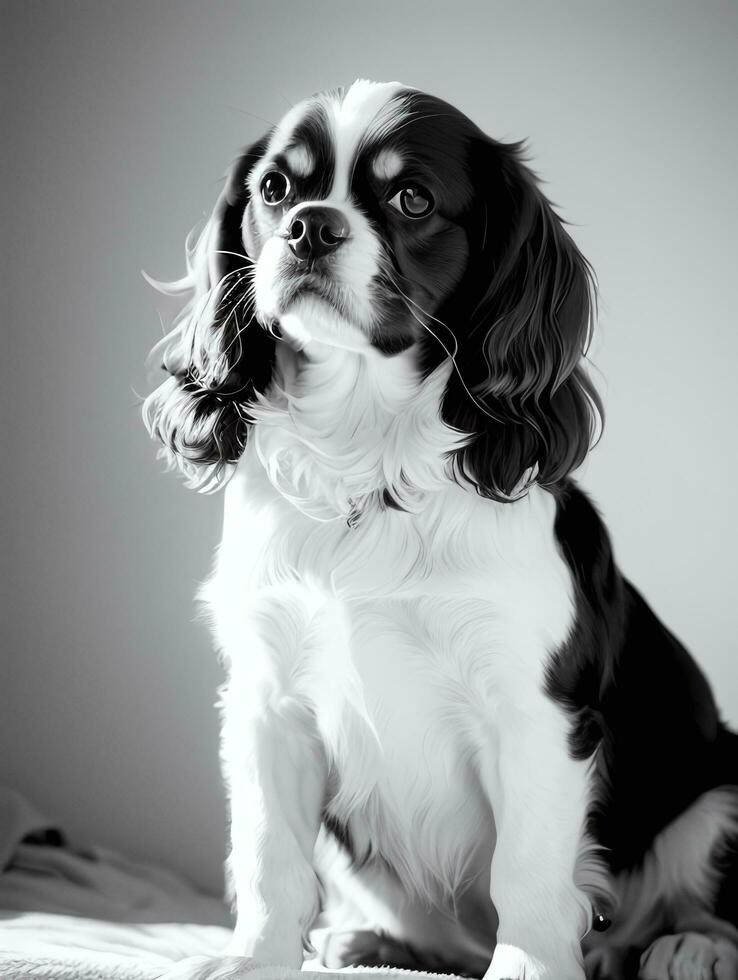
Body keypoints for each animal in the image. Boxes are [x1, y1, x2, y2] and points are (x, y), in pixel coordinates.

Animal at [144, 82, 736, 980]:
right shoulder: (267, 702)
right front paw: (256, 958)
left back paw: (686, 947)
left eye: (412, 200)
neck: (368, 465)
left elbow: (527, 868)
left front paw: (528, 967)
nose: (310, 226)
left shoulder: (535, 713)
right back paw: (367, 938)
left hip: (720, 792)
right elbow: (269, 855)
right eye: (275, 189)